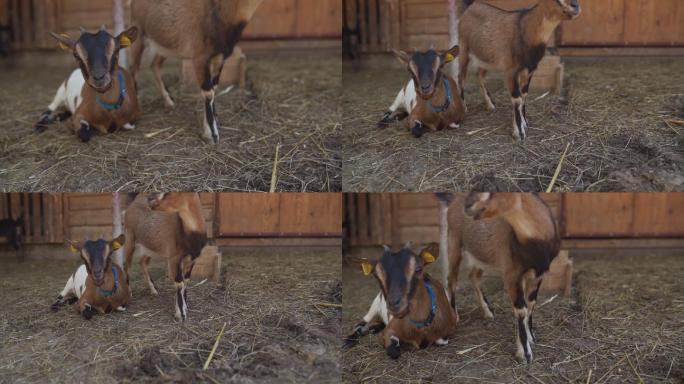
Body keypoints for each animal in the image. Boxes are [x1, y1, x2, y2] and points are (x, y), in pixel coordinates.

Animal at [124, 192, 207, 320]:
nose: (152, 203)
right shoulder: (174, 257)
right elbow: (179, 282)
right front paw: (180, 314)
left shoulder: (192, 259)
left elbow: (186, 280)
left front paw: (185, 307)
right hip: (129, 238)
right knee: (127, 264)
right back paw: (129, 293)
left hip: (150, 248)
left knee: (142, 262)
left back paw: (154, 290)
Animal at [130, 0, 264, 144]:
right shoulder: (200, 58)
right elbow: (208, 92)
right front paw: (211, 134)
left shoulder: (219, 57)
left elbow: (214, 87)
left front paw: (214, 123)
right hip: (138, 36)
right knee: (134, 70)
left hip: (165, 45)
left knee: (154, 65)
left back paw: (169, 101)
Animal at [438, 194, 560, 362]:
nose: (468, 206)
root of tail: (453, 203)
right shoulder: (512, 274)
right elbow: (521, 309)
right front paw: (524, 353)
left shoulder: (537, 276)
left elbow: (531, 304)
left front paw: (531, 338)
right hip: (454, 242)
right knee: (452, 279)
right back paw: (454, 317)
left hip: (482, 256)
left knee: (473, 275)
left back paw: (488, 312)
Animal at [456, 0, 580, 140]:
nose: (576, 6)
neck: (527, 30)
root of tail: (470, 6)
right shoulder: (511, 70)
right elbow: (517, 98)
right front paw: (519, 132)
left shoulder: (529, 70)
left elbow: (524, 95)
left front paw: (524, 123)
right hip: (464, 49)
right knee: (461, 78)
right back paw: (463, 108)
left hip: (486, 59)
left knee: (479, 75)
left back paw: (490, 105)